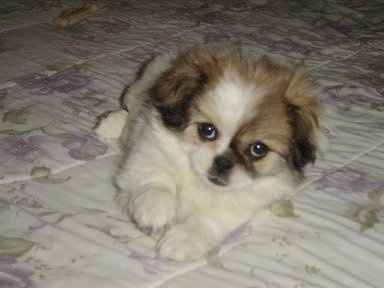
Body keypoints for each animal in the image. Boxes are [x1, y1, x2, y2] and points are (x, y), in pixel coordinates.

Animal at [95, 46, 324, 262]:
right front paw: (154, 210)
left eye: (258, 149)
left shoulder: (245, 204)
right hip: (143, 83)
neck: (200, 184)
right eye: (207, 130)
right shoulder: (146, 149)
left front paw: (184, 239)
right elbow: (155, 178)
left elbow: (212, 219)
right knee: (129, 108)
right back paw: (108, 125)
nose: (223, 162)